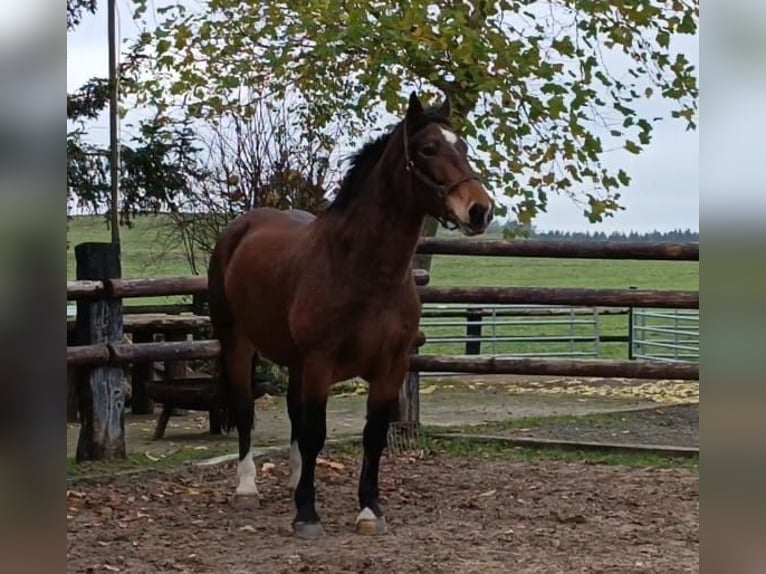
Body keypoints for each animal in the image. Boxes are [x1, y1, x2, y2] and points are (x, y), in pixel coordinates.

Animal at [207, 91, 496, 540]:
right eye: (428, 149)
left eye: (463, 146)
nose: (480, 210)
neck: (363, 269)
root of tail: (241, 228)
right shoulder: (321, 361)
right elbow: (315, 434)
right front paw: (307, 516)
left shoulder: (391, 366)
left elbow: (372, 436)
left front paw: (369, 510)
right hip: (237, 341)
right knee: (245, 410)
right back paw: (248, 489)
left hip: (294, 362)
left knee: (293, 415)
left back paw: (296, 480)